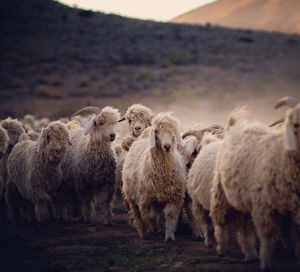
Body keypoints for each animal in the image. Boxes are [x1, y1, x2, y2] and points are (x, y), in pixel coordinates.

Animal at [121, 111, 185, 241]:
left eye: (173, 131)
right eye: (157, 131)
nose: (167, 146)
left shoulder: (173, 198)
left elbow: (169, 216)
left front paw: (169, 236)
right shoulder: (146, 199)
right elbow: (150, 216)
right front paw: (153, 228)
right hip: (132, 197)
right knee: (138, 215)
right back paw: (143, 233)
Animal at [210, 96, 300, 270]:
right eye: (295, 122)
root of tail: (234, 125)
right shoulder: (264, 206)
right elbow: (267, 235)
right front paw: (266, 262)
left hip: (243, 198)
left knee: (244, 227)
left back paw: (250, 253)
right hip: (221, 191)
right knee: (220, 220)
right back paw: (222, 248)